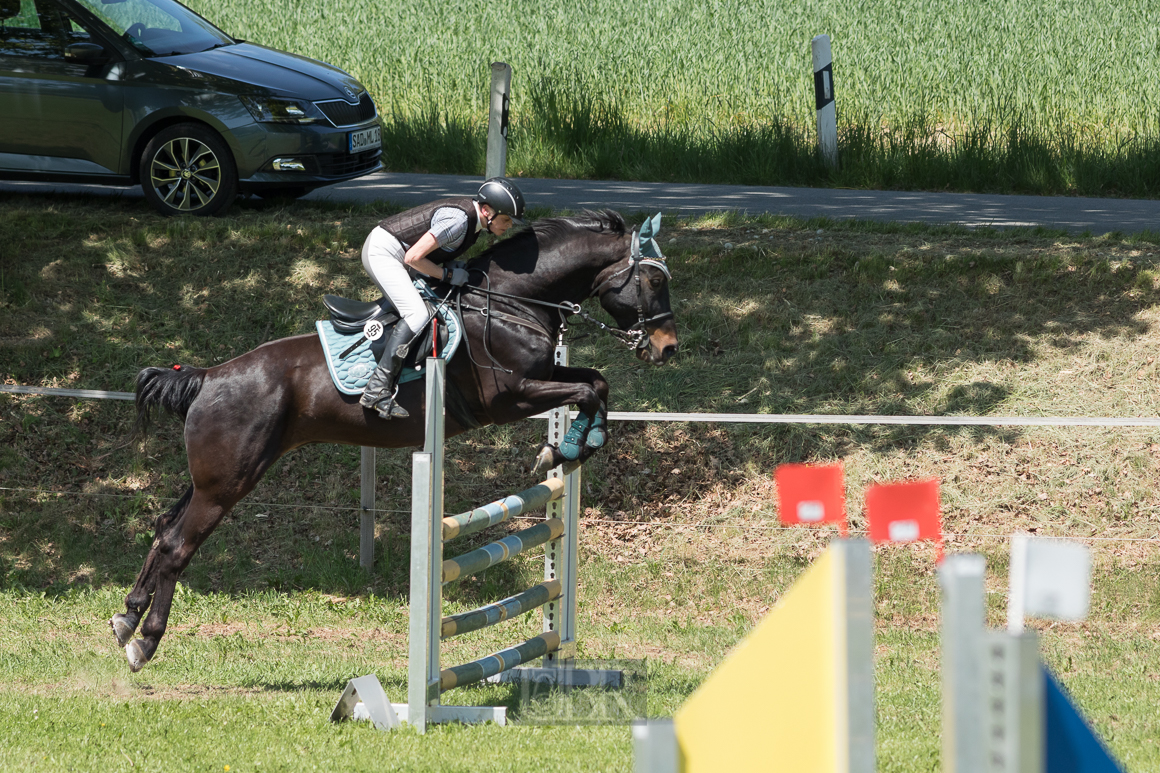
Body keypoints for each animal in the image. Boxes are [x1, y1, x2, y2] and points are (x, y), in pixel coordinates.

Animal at [109, 208, 677, 668]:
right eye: (652, 279)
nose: (667, 348)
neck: (511, 302)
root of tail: (207, 377)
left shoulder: (542, 380)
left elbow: (596, 383)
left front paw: (575, 444)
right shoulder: (510, 397)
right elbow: (587, 388)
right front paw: (563, 448)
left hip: (213, 477)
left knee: (164, 527)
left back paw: (126, 618)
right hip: (227, 482)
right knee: (178, 546)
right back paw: (146, 642)